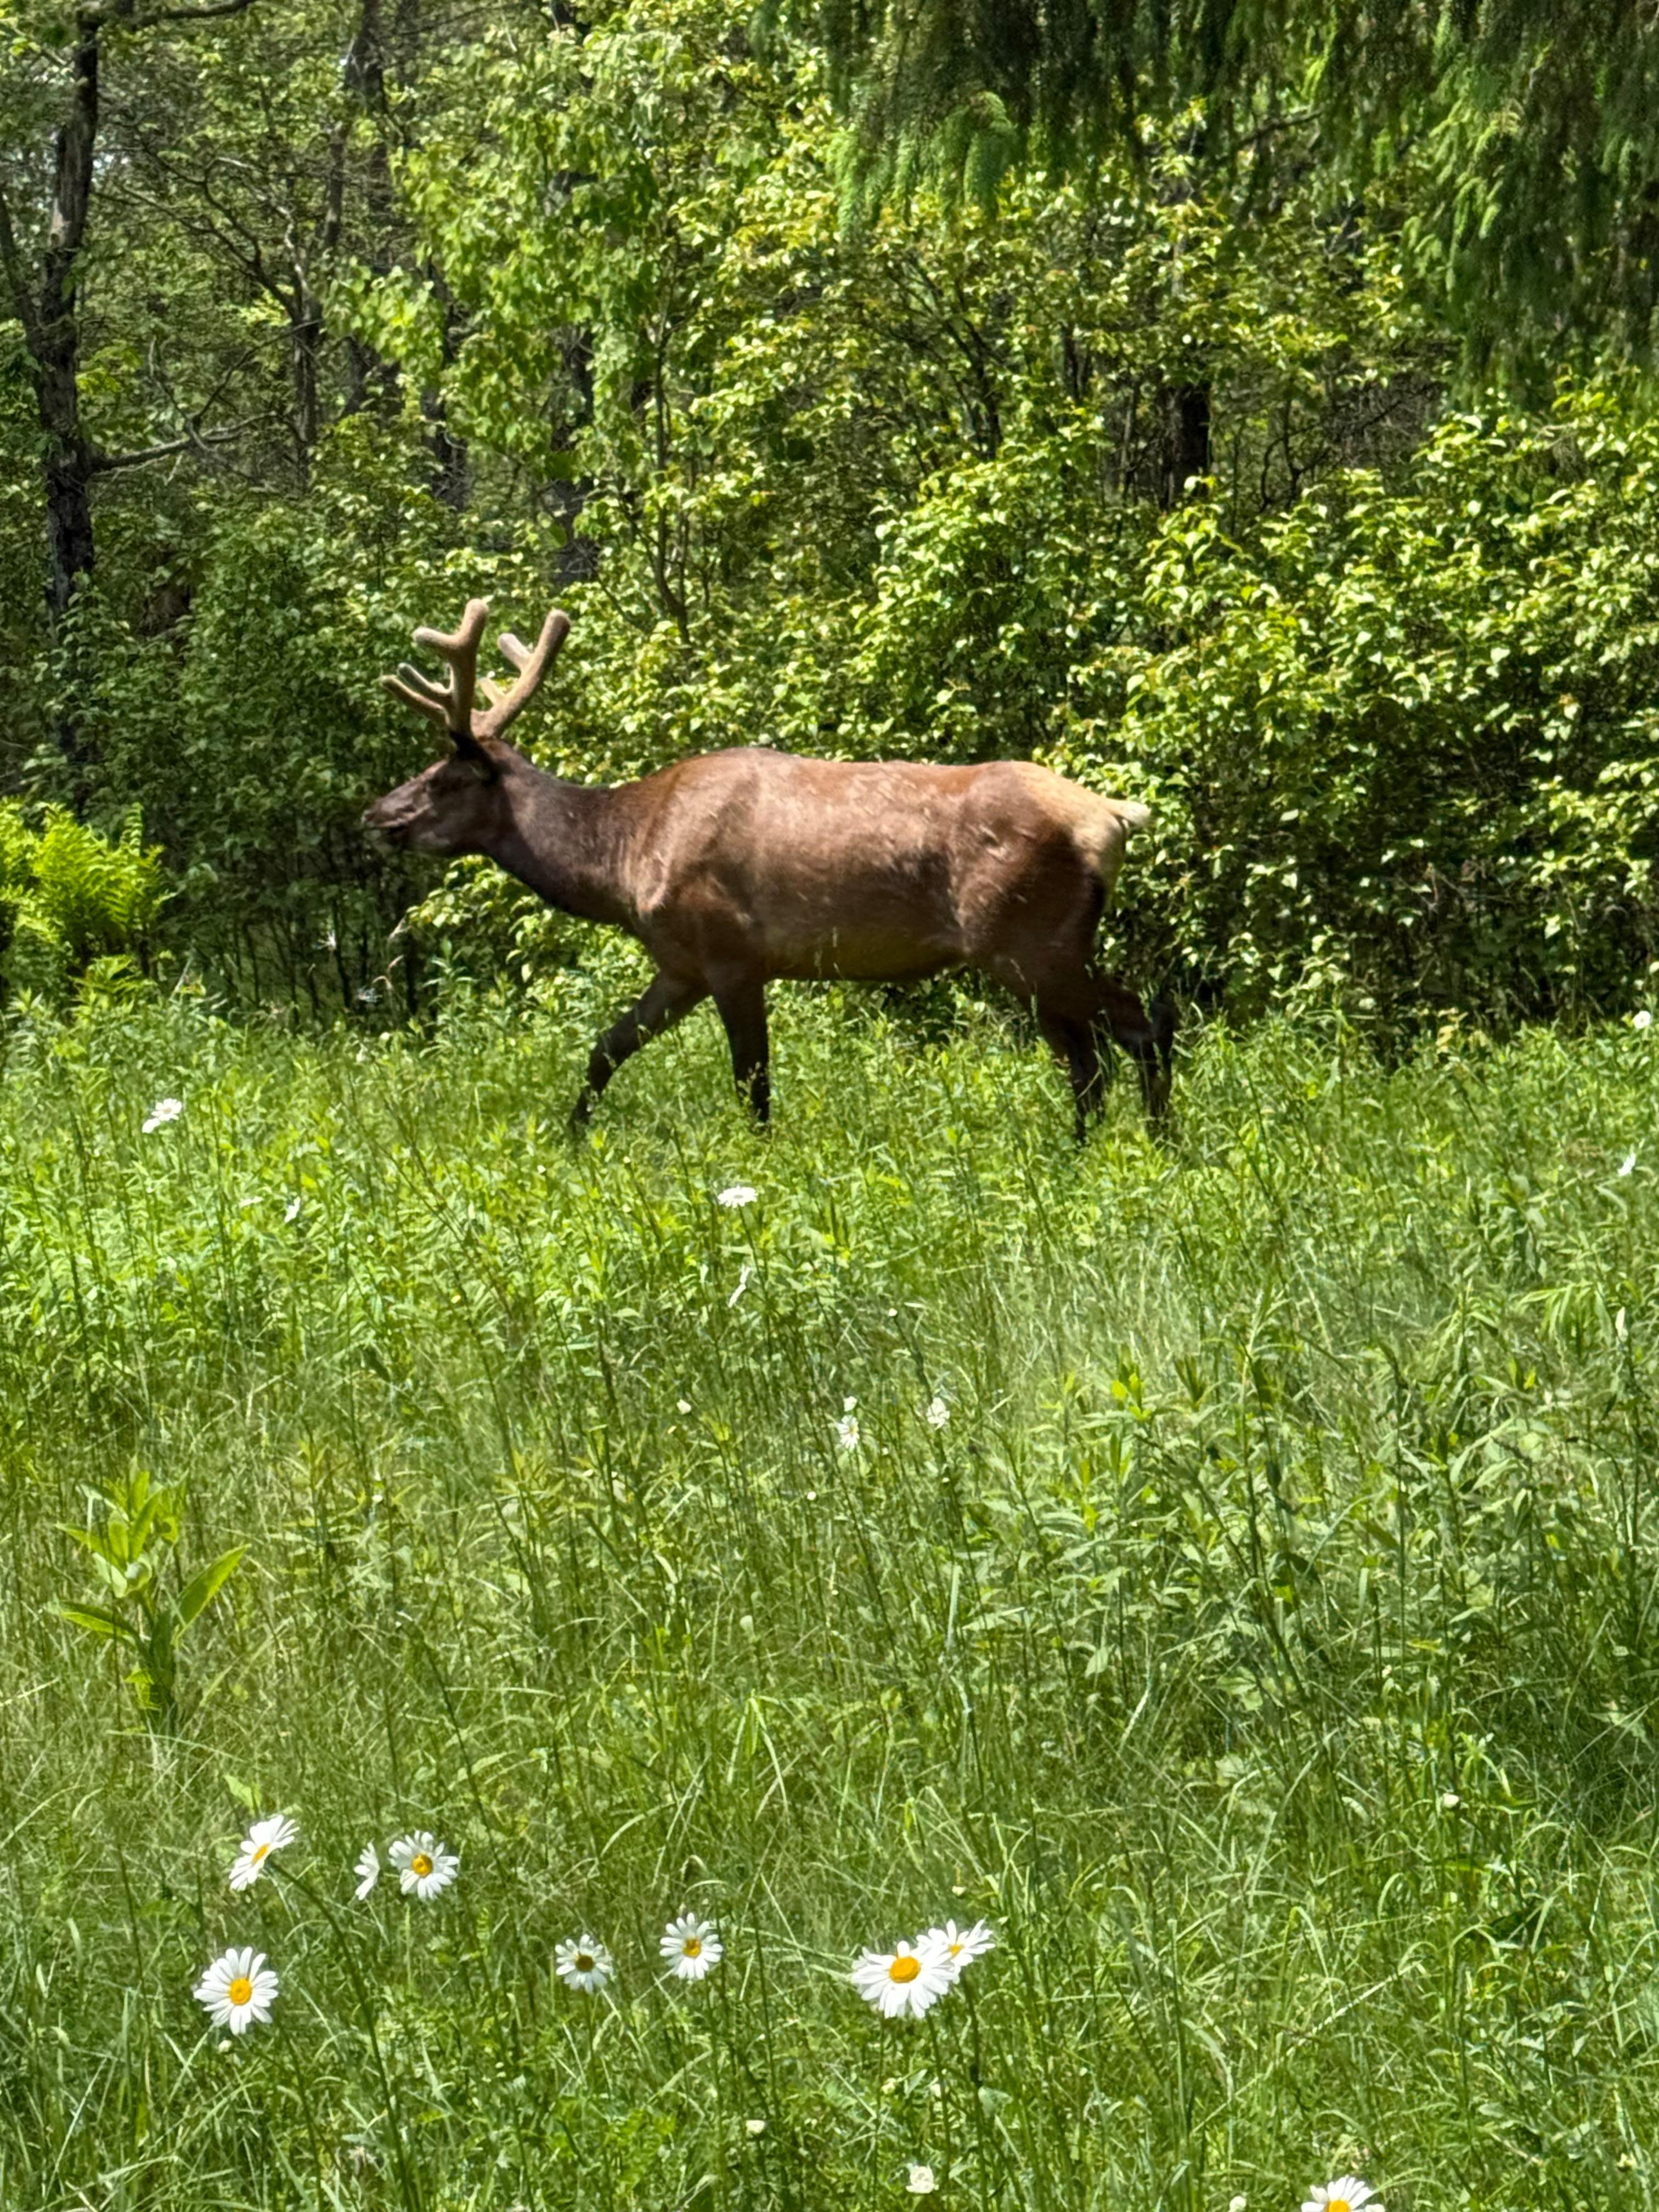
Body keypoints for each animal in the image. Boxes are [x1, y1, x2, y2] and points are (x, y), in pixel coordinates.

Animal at [363, 599, 1176, 1137]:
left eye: (442, 777)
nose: (374, 814)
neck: (624, 862)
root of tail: (1111, 818)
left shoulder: (732, 953)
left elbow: (751, 1082)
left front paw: (760, 1164)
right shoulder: (681, 965)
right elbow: (605, 1048)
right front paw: (570, 1140)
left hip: (1025, 939)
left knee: (1138, 1026)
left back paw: (1156, 1144)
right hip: (1038, 949)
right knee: (1088, 1056)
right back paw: (1085, 1148)